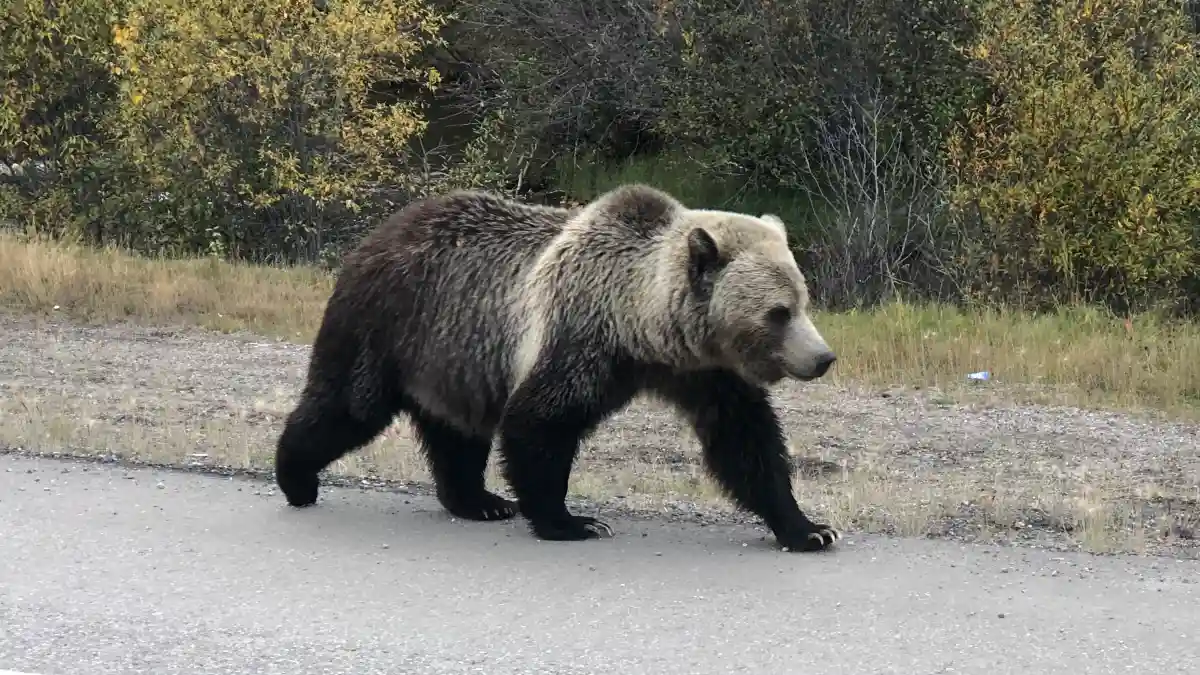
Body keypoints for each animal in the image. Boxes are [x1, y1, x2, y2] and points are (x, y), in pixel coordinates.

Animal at [274, 183, 841, 552]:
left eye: (803, 300)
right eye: (778, 312)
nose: (823, 358)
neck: (643, 327)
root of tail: (378, 232)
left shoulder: (706, 371)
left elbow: (746, 440)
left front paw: (810, 528)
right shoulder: (579, 336)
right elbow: (540, 421)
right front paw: (572, 521)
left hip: (453, 357)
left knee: (457, 432)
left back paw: (480, 501)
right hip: (388, 324)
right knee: (347, 404)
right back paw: (296, 477)